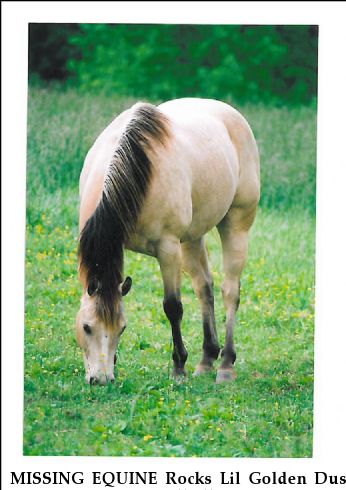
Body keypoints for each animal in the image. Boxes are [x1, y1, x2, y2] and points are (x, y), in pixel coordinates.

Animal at [75, 97, 260, 384]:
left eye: (122, 328)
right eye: (86, 327)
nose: (101, 379)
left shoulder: (168, 249)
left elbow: (173, 307)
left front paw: (178, 367)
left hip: (236, 225)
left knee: (230, 292)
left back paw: (226, 365)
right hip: (192, 238)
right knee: (204, 287)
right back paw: (207, 359)